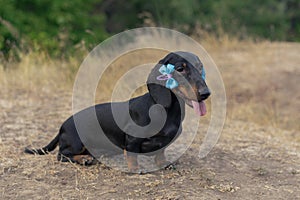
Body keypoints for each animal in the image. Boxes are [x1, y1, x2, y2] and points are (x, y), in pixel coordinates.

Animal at [24, 50, 211, 171]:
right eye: (180, 69)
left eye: (200, 67)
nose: (205, 93)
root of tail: (62, 126)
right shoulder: (132, 138)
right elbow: (132, 155)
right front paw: (135, 169)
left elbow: (160, 153)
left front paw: (164, 163)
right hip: (76, 142)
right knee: (61, 155)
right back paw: (84, 159)